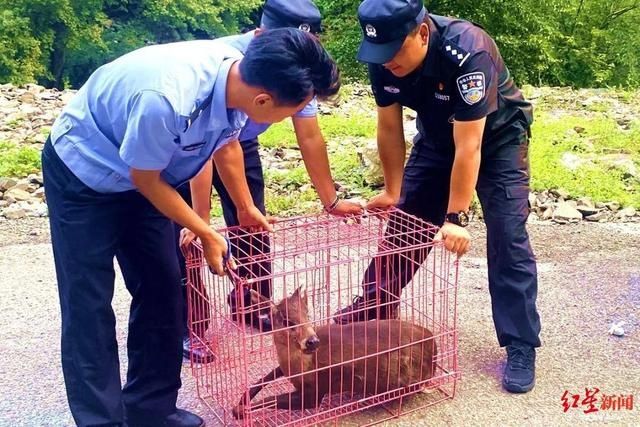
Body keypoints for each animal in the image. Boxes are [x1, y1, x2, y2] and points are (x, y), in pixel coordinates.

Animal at [232, 287, 437, 419]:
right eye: (287, 321)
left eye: (308, 315)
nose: (313, 341)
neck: (302, 367)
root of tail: (434, 346)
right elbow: (265, 377)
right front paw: (241, 401)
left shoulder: (317, 389)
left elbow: (272, 399)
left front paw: (240, 411)